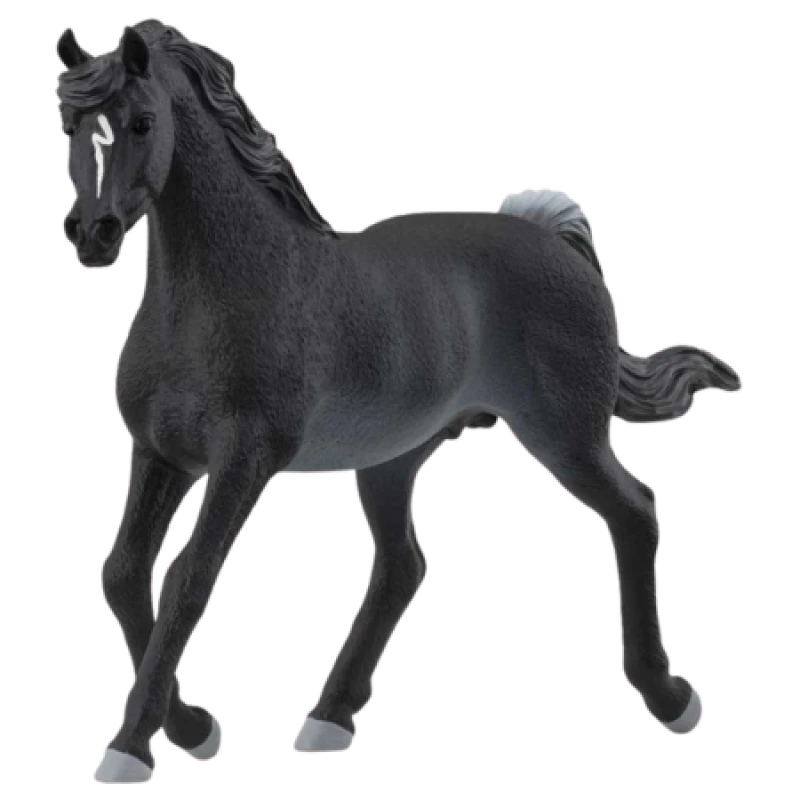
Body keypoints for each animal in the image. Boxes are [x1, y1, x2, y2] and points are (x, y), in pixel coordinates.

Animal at [57, 22, 740, 782]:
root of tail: (557, 241)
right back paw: (325, 722)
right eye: (71, 126)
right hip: (391, 459)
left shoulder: (245, 456)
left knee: (636, 515)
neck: (217, 293)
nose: (93, 233)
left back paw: (674, 700)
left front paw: (129, 751)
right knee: (401, 569)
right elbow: (122, 575)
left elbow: (186, 582)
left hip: (566, 436)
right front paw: (196, 730)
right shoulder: (159, 453)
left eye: (143, 123)